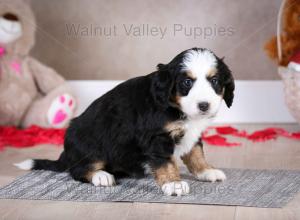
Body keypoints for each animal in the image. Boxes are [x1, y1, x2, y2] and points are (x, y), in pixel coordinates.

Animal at [15, 47, 234, 196]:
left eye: (215, 81)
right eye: (187, 82)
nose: (204, 105)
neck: (176, 107)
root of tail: (66, 153)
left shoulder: (192, 134)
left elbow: (196, 153)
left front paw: (206, 171)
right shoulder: (157, 137)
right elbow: (166, 162)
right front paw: (174, 183)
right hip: (91, 146)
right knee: (77, 170)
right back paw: (101, 176)